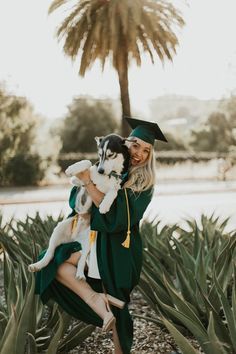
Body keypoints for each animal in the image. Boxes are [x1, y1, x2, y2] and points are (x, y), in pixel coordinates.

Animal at [28, 133, 131, 280]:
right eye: (99, 155)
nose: (100, 170)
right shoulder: (78, 184)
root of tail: (75, 238)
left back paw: (80, 274)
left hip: (89, 242)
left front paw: (105, 205)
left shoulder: (118, 185)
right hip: (59, 229)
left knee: (82, 260)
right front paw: (73, 168)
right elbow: (86, 162)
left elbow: (114, 191)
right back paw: (37, 265)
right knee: (50, 253)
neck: (108, 174)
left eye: (111, 155)